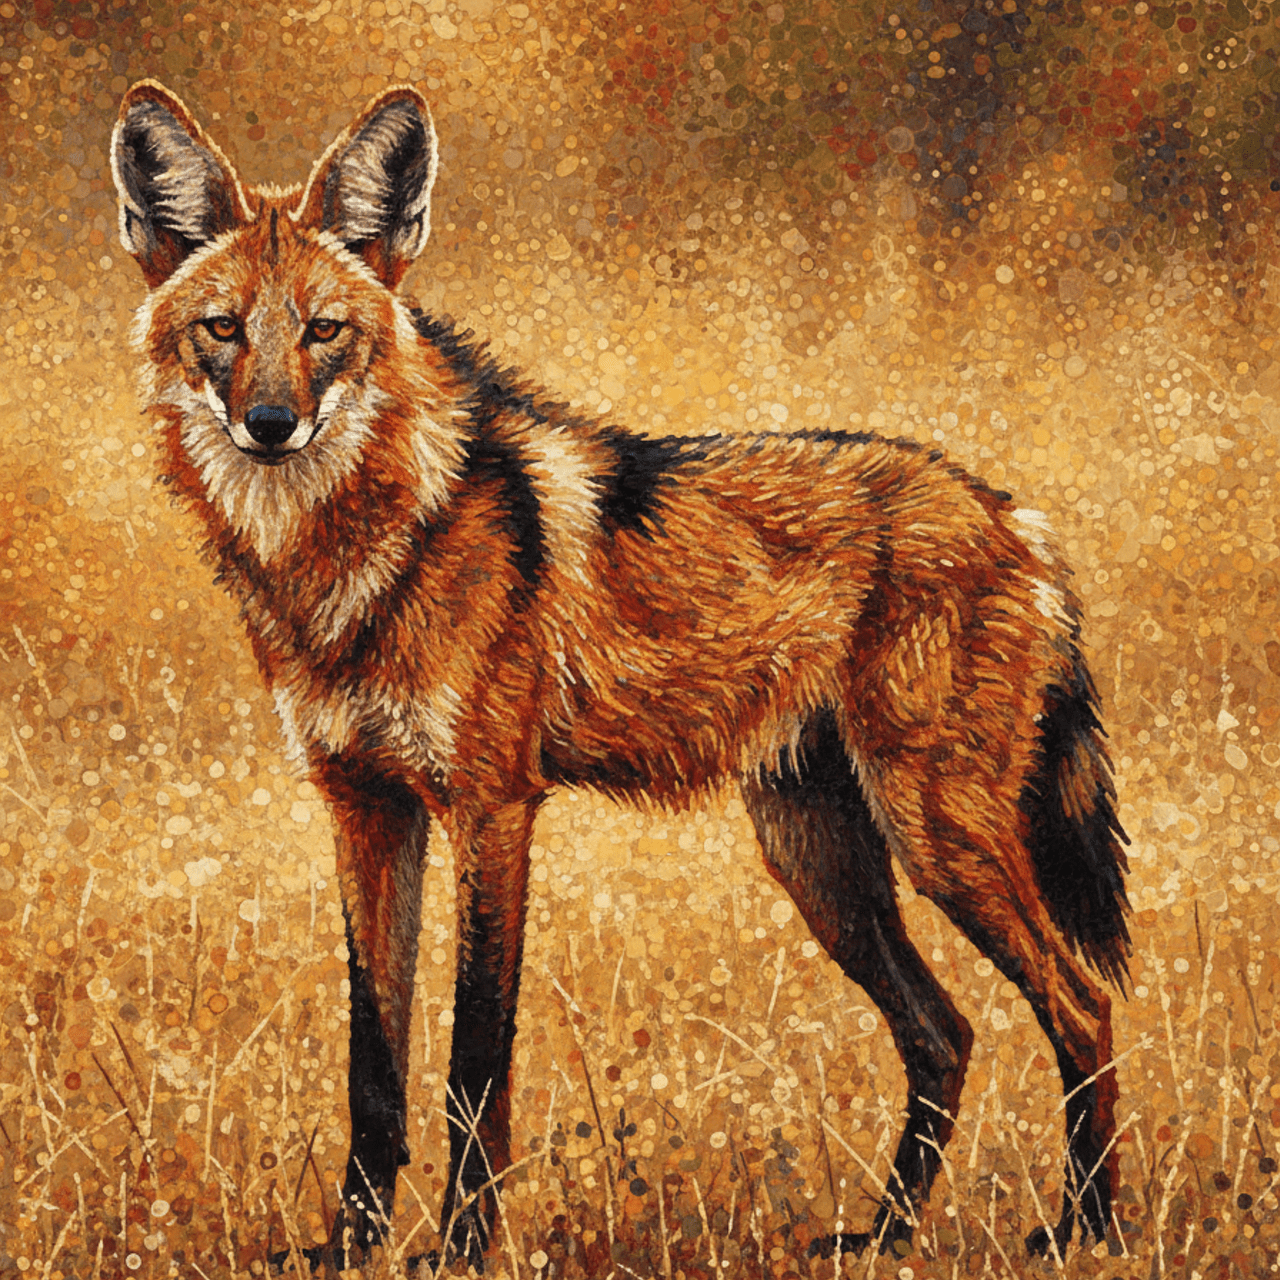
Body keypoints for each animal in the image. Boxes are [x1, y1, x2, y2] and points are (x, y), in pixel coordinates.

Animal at [111, 80, 1130, 1270]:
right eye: (223, 329)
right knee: (945, 1031)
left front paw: (462, 1246)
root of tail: (1011, 511)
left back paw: (1084, 1228)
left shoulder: (492, 809)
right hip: (822, 864)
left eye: (324, 331)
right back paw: (882, 1235)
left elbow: (473, 1060)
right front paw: (351, 1244)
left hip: (938, 839)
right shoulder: (363, 807)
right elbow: (373, 1060)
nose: (270, 425)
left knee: (1081, 1005)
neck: (346, 570)